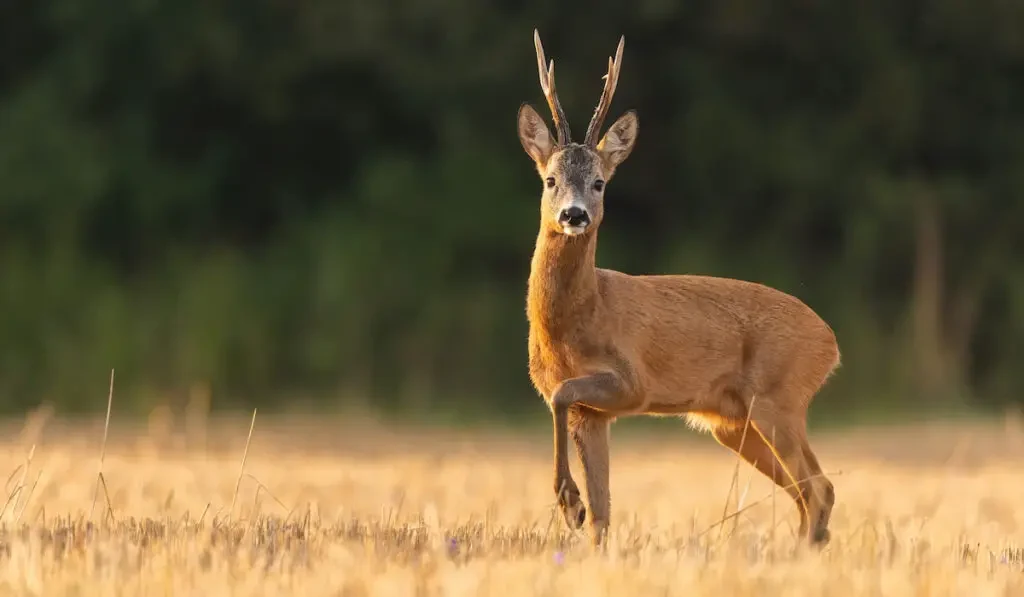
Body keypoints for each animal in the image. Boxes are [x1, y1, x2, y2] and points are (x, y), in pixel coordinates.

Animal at [520, 30, 839, 548]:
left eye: (599, 182)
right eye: (550, 180)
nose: (574, 214)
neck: (574, 322)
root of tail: (831, 344)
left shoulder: (632, 383)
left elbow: (562, 395)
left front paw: (569, 503)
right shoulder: (594, 414)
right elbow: (604, 511)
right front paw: (581, 516)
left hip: (779, 398)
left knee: (819, 488)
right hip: (734, 422)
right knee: (807, 493)